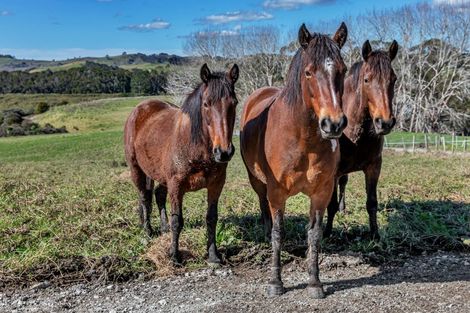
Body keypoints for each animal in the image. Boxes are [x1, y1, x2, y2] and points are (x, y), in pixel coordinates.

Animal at [124, 63, 239, 264]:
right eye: (206, 104)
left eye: (234, 103)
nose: (224, 152)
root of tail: (139, 109)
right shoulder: (176, 185)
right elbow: (177, 220)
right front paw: (174, 256)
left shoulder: (216, 184)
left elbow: (211, 218)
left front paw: (213, 256)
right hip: (136, 169)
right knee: (144, 197)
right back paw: (147, 231)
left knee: (158, 195)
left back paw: (163, 228)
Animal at [242, 23, 348, 296]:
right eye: (309, 72)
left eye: (342, 70)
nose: (333, 124)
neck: (303, 140)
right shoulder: (277, 193)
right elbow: (278, 233)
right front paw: (275, 282)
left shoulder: (322, 192)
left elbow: (314, 234)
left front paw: (315, 282)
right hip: (257, 182)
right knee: (264, 208)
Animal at [324, 39, 398, 239]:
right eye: (367, 79)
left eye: (394, 79)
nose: (385, 122)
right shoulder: (333, 171)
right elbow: (330, 205)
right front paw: (326, 233)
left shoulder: (374, 167)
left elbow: (372, 203)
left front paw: (375, 235)